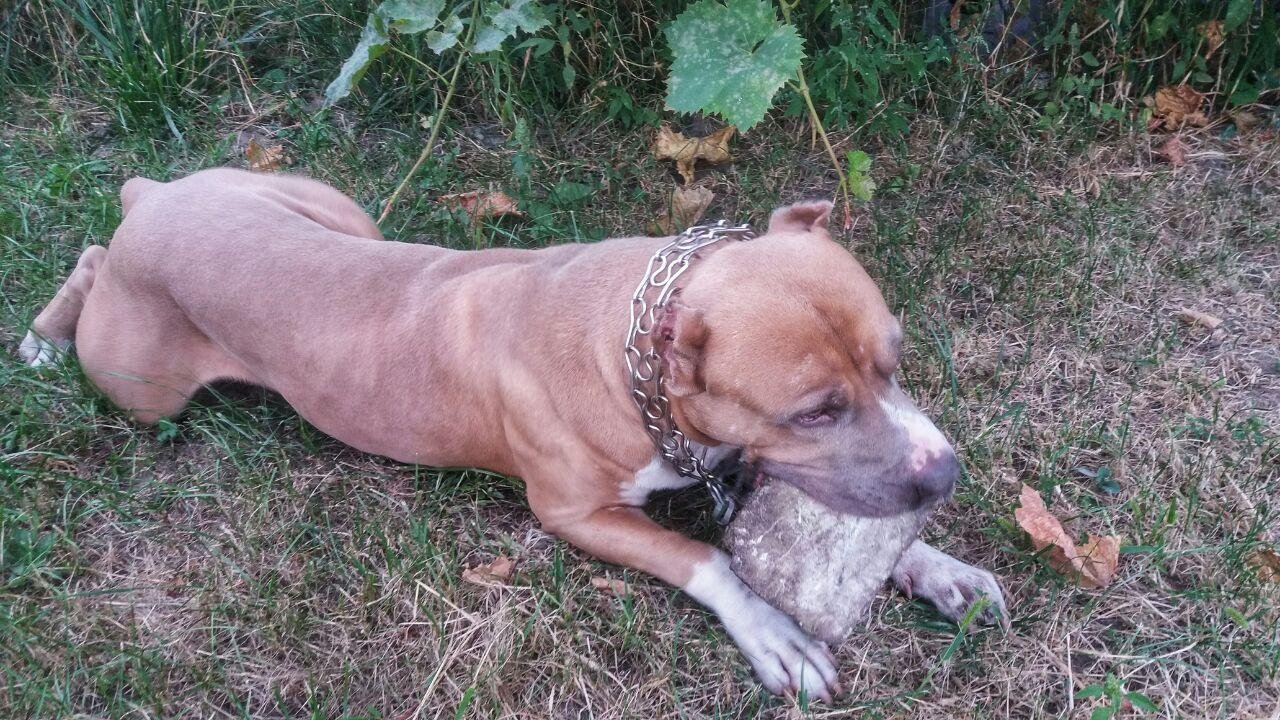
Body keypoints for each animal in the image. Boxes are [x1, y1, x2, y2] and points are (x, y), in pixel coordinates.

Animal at [15, 166, 1003, 696]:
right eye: (814, 411)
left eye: (895, 360)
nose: (944, 472)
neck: (630, 350)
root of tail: (156, 195)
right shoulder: (575, 514)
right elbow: (707, 560)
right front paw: (772, 633)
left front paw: (936, 567)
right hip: (141, 384)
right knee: (93, 259)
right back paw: (38, 337)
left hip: (329, 208)